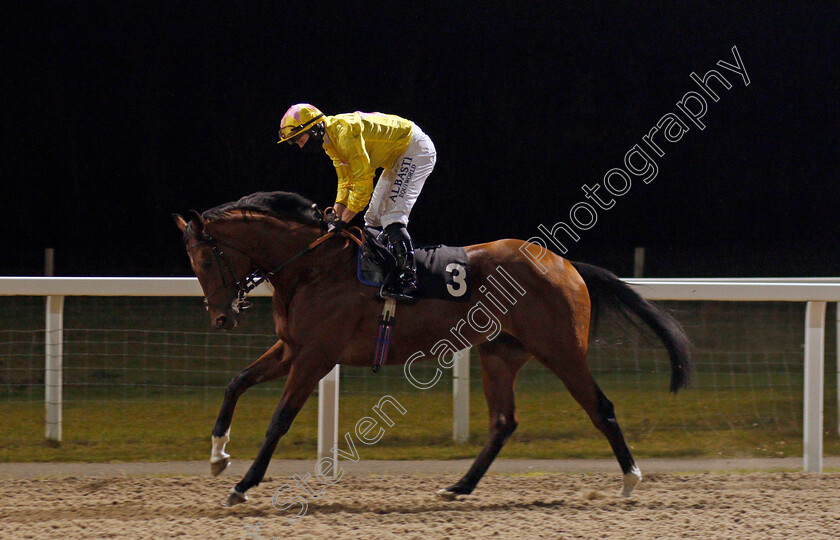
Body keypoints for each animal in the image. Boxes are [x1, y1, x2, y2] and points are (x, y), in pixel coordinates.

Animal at [172, 192, 688, 508]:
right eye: (193, 263)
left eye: (206, 260)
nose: (221, 318)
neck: (312, 267)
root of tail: (565, 264)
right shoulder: (291, 347)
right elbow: (236, 382)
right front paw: (218, 456)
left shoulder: (316, 355)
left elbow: (279, 419)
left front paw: (243, 485)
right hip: (500, 353)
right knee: (503, 421)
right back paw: (459, 486)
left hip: (561, 351)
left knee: (601, 407)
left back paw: (631, 478)